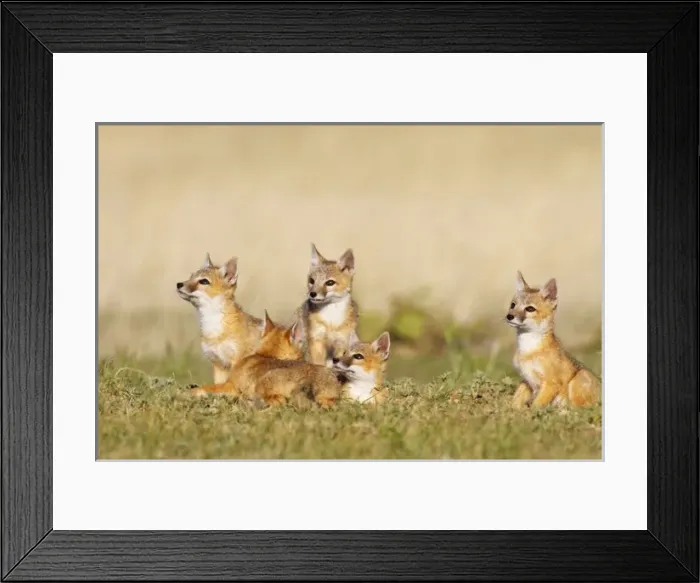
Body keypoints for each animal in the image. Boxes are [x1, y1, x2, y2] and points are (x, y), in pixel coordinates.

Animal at [505, 271, 601, 409]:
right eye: (513, 305)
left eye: (530, 309)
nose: (509, 316)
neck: (528, 350)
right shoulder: (526, 380)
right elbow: (515, 401)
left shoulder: (551, 383)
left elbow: (535, 406)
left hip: (580, 377)